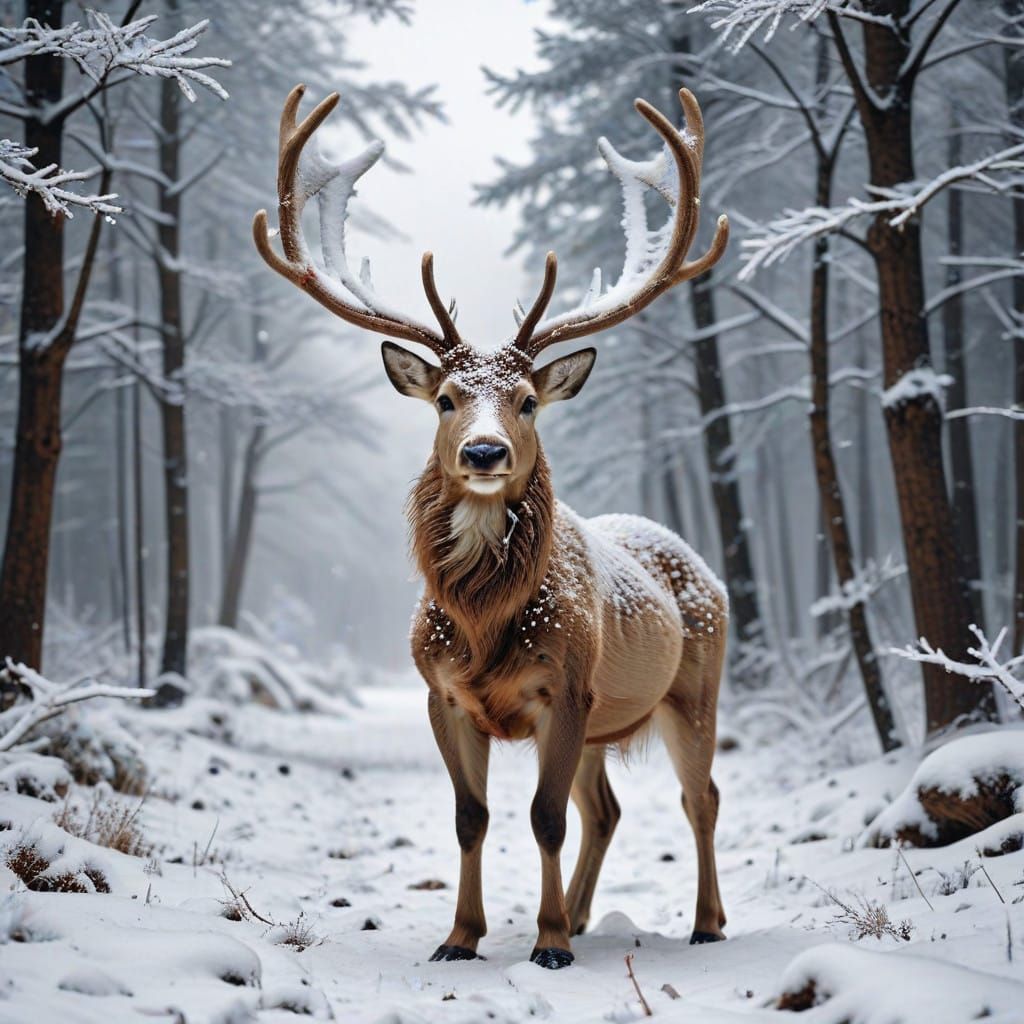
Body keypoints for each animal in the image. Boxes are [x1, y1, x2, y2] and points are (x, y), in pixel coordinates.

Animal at [254, 84, 730, 970]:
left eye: (529, 401)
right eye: (445, 399)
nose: (483, 450)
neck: (481, 625)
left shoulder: (566, 685)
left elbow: (542, 817)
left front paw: (547, 943)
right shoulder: (440, 692)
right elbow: (470, 817)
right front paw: (461, 937)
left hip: (695, 688)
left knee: (699, 796)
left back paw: (705, 921)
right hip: (608, 720)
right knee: (607, 808)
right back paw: (584, 912)